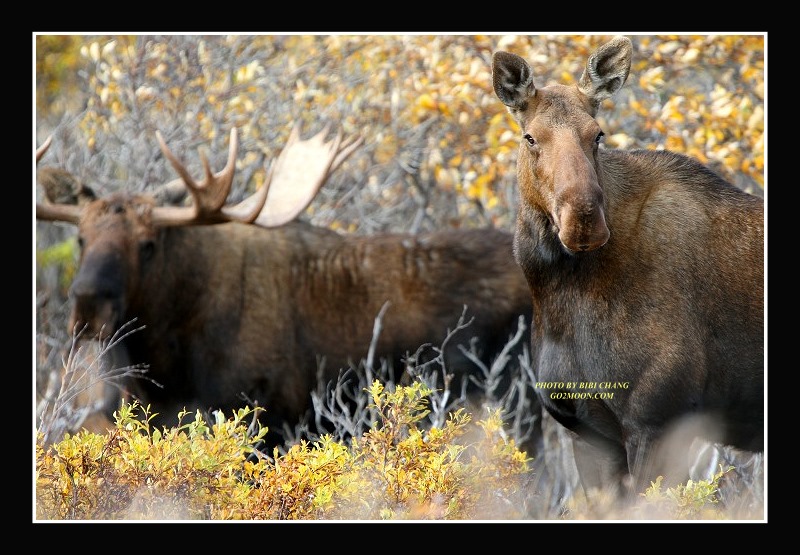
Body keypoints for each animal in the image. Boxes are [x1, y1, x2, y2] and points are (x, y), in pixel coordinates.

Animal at [491, 35, 764, 497]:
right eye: (530, 137)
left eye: (597, 134)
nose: (583, 219)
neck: (559, 293)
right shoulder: (586, 430)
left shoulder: (658, 419)